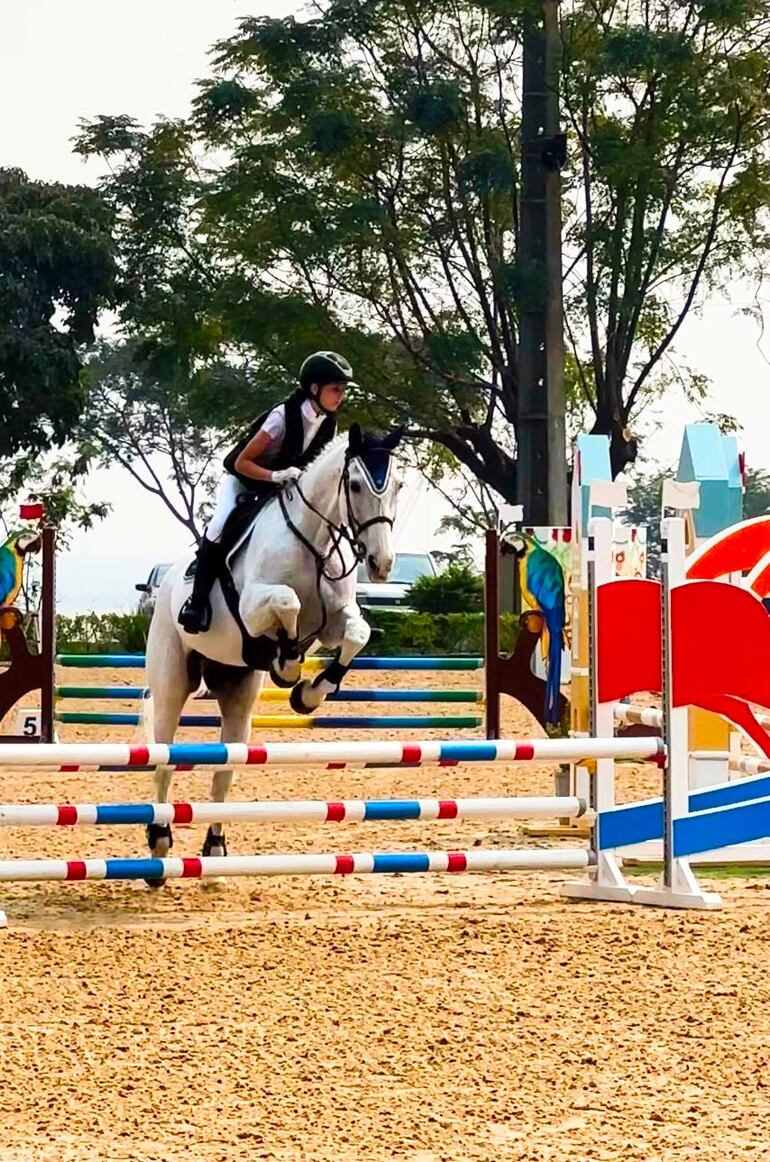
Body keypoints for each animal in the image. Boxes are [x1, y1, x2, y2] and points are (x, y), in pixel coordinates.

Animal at [146, 427, 408, 878]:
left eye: (398, 487)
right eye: (356, 485)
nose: (381, 564)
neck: (313, 542)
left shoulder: (335, 621)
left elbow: (356, 633)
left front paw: (311, 692)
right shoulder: (253, 609)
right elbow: (288, 602)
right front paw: (286, 665)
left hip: (236, 691)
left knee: (225, 769)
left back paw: (215, 850)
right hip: (171, 678)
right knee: (164, 757)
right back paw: (160, 840)